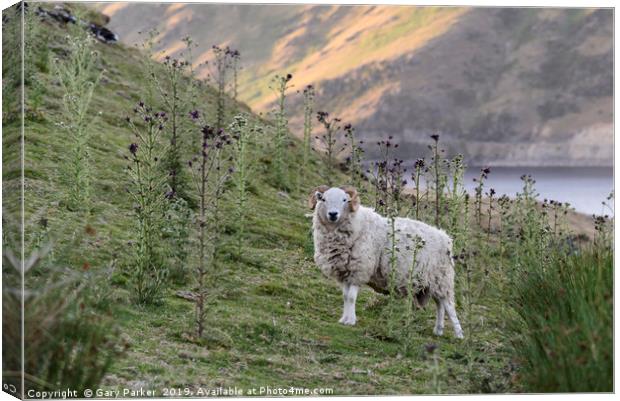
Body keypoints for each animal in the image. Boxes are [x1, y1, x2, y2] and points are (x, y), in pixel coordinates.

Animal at [308, 184, 462, 338]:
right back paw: (438, 330)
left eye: (345, 200)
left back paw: (459, 334)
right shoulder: (345, 272)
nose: (333, 214)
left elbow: (351, 297)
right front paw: (344, 319)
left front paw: (350, 321)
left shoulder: (359, 270)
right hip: (432, 283)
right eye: (323, 199)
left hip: (442, 279)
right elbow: (345, 297)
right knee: (440, 305)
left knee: (449, 307)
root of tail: (446, 237)